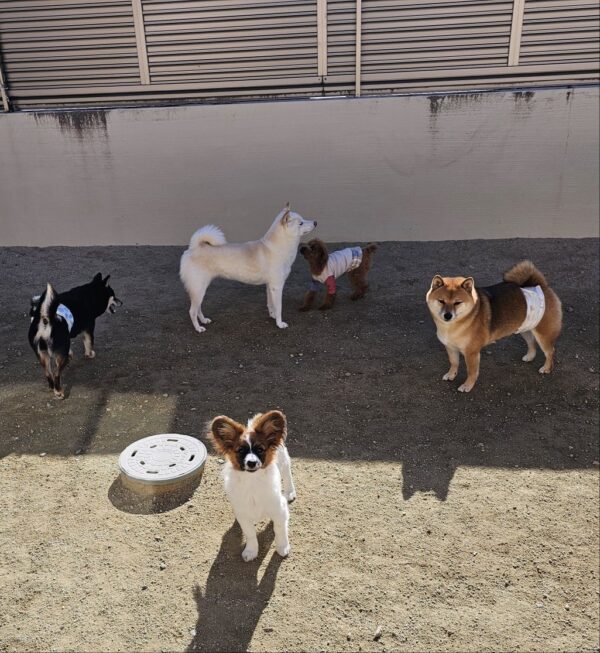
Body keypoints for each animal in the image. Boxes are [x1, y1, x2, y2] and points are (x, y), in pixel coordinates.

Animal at [180, 204, 317, 332]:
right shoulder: (277, 286)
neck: (277, 247)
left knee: (198, 308)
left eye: (303, 219)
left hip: (200, 289)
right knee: (192, 311)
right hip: (199, 288)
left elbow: (271, 304)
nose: (315, 222)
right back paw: (198, 328)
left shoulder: (270, 286)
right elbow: (279, 307)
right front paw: (280, 323)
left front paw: (272, 316)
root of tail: (194, 247)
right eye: (301, 223)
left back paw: (204, 320)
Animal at [208, 410, 296, 562]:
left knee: (287, 474)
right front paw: (251, 551)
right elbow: (250, 534)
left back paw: (290, 492)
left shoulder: (280, 509)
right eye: (240, 451)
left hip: (283, 460)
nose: (251, 463)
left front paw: (282, 547)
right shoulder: (244, 515)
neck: (252, 481)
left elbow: (279, 529)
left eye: (260, 449)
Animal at [426, 260, 562, 393]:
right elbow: (454, 363)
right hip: (525, 328)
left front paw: (467, 386)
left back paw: (546, 368)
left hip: (543, 335)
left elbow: (471, 372)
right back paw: (529, 356)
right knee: (532, 343)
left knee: (550, 351)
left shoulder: (471, 353)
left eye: (457, 303)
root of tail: (541, 285)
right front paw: (451, 375)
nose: (447, 315)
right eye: (441, 301)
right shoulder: (451, 347)